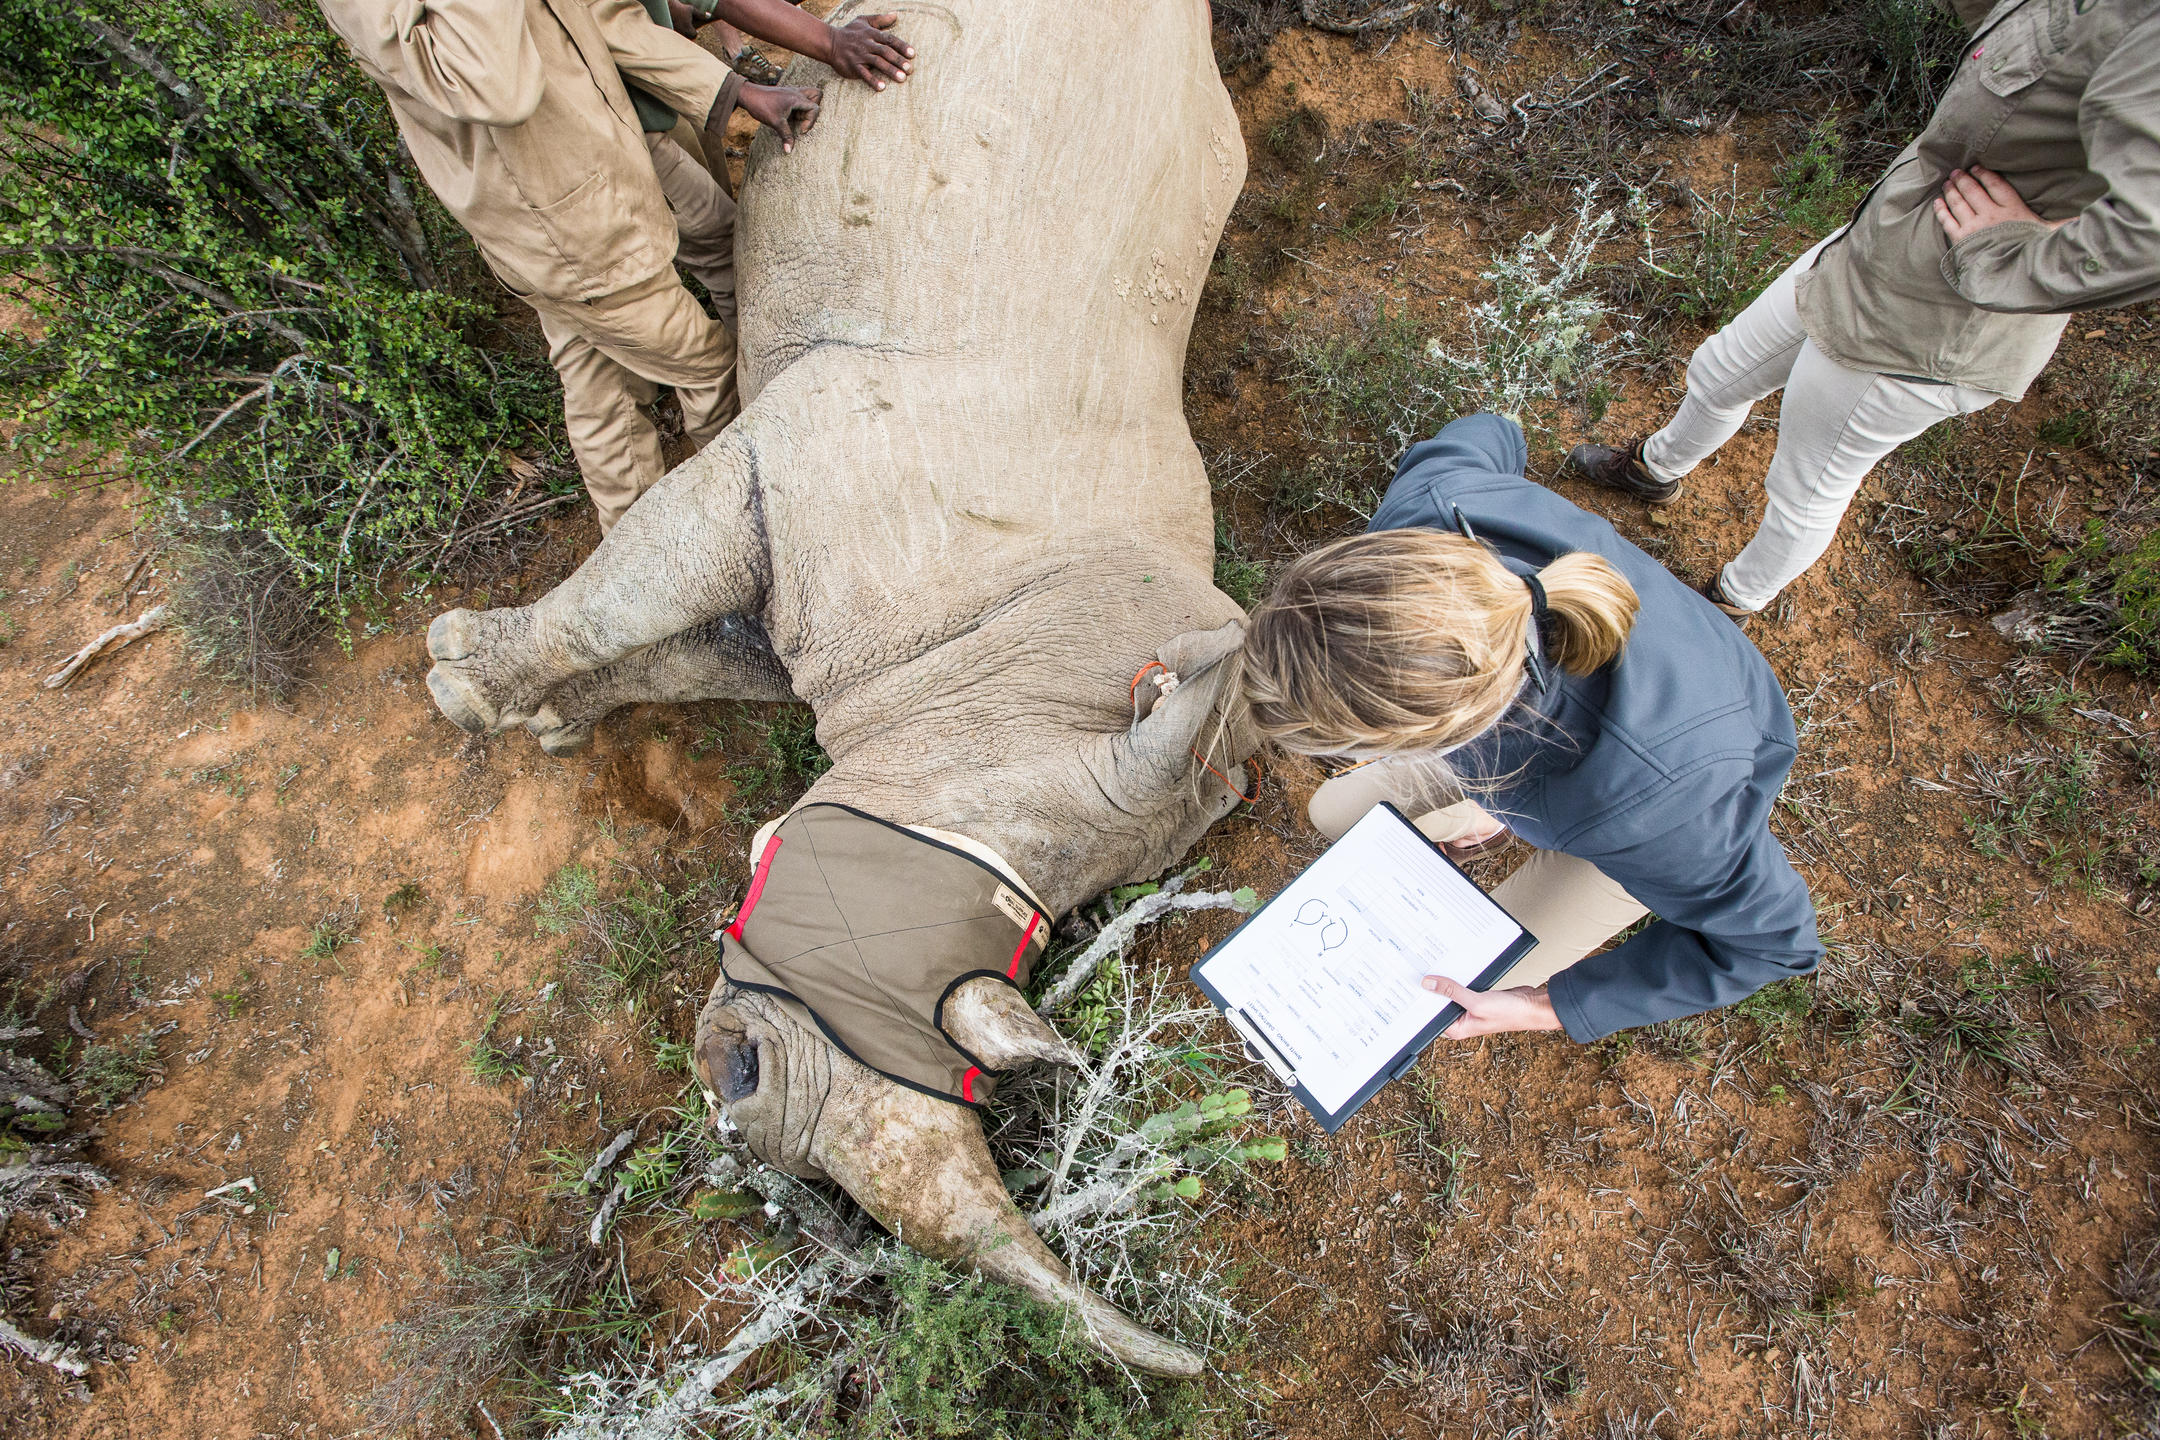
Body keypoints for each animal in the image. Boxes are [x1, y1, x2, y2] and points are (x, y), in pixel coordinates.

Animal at [423, 0, 1261, 1381]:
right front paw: (466, 685)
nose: (749, 1100)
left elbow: (681, 644)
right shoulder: (801, 462)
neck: (995, 683)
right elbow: (626, 593)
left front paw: (540, 714)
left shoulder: (827, 611)